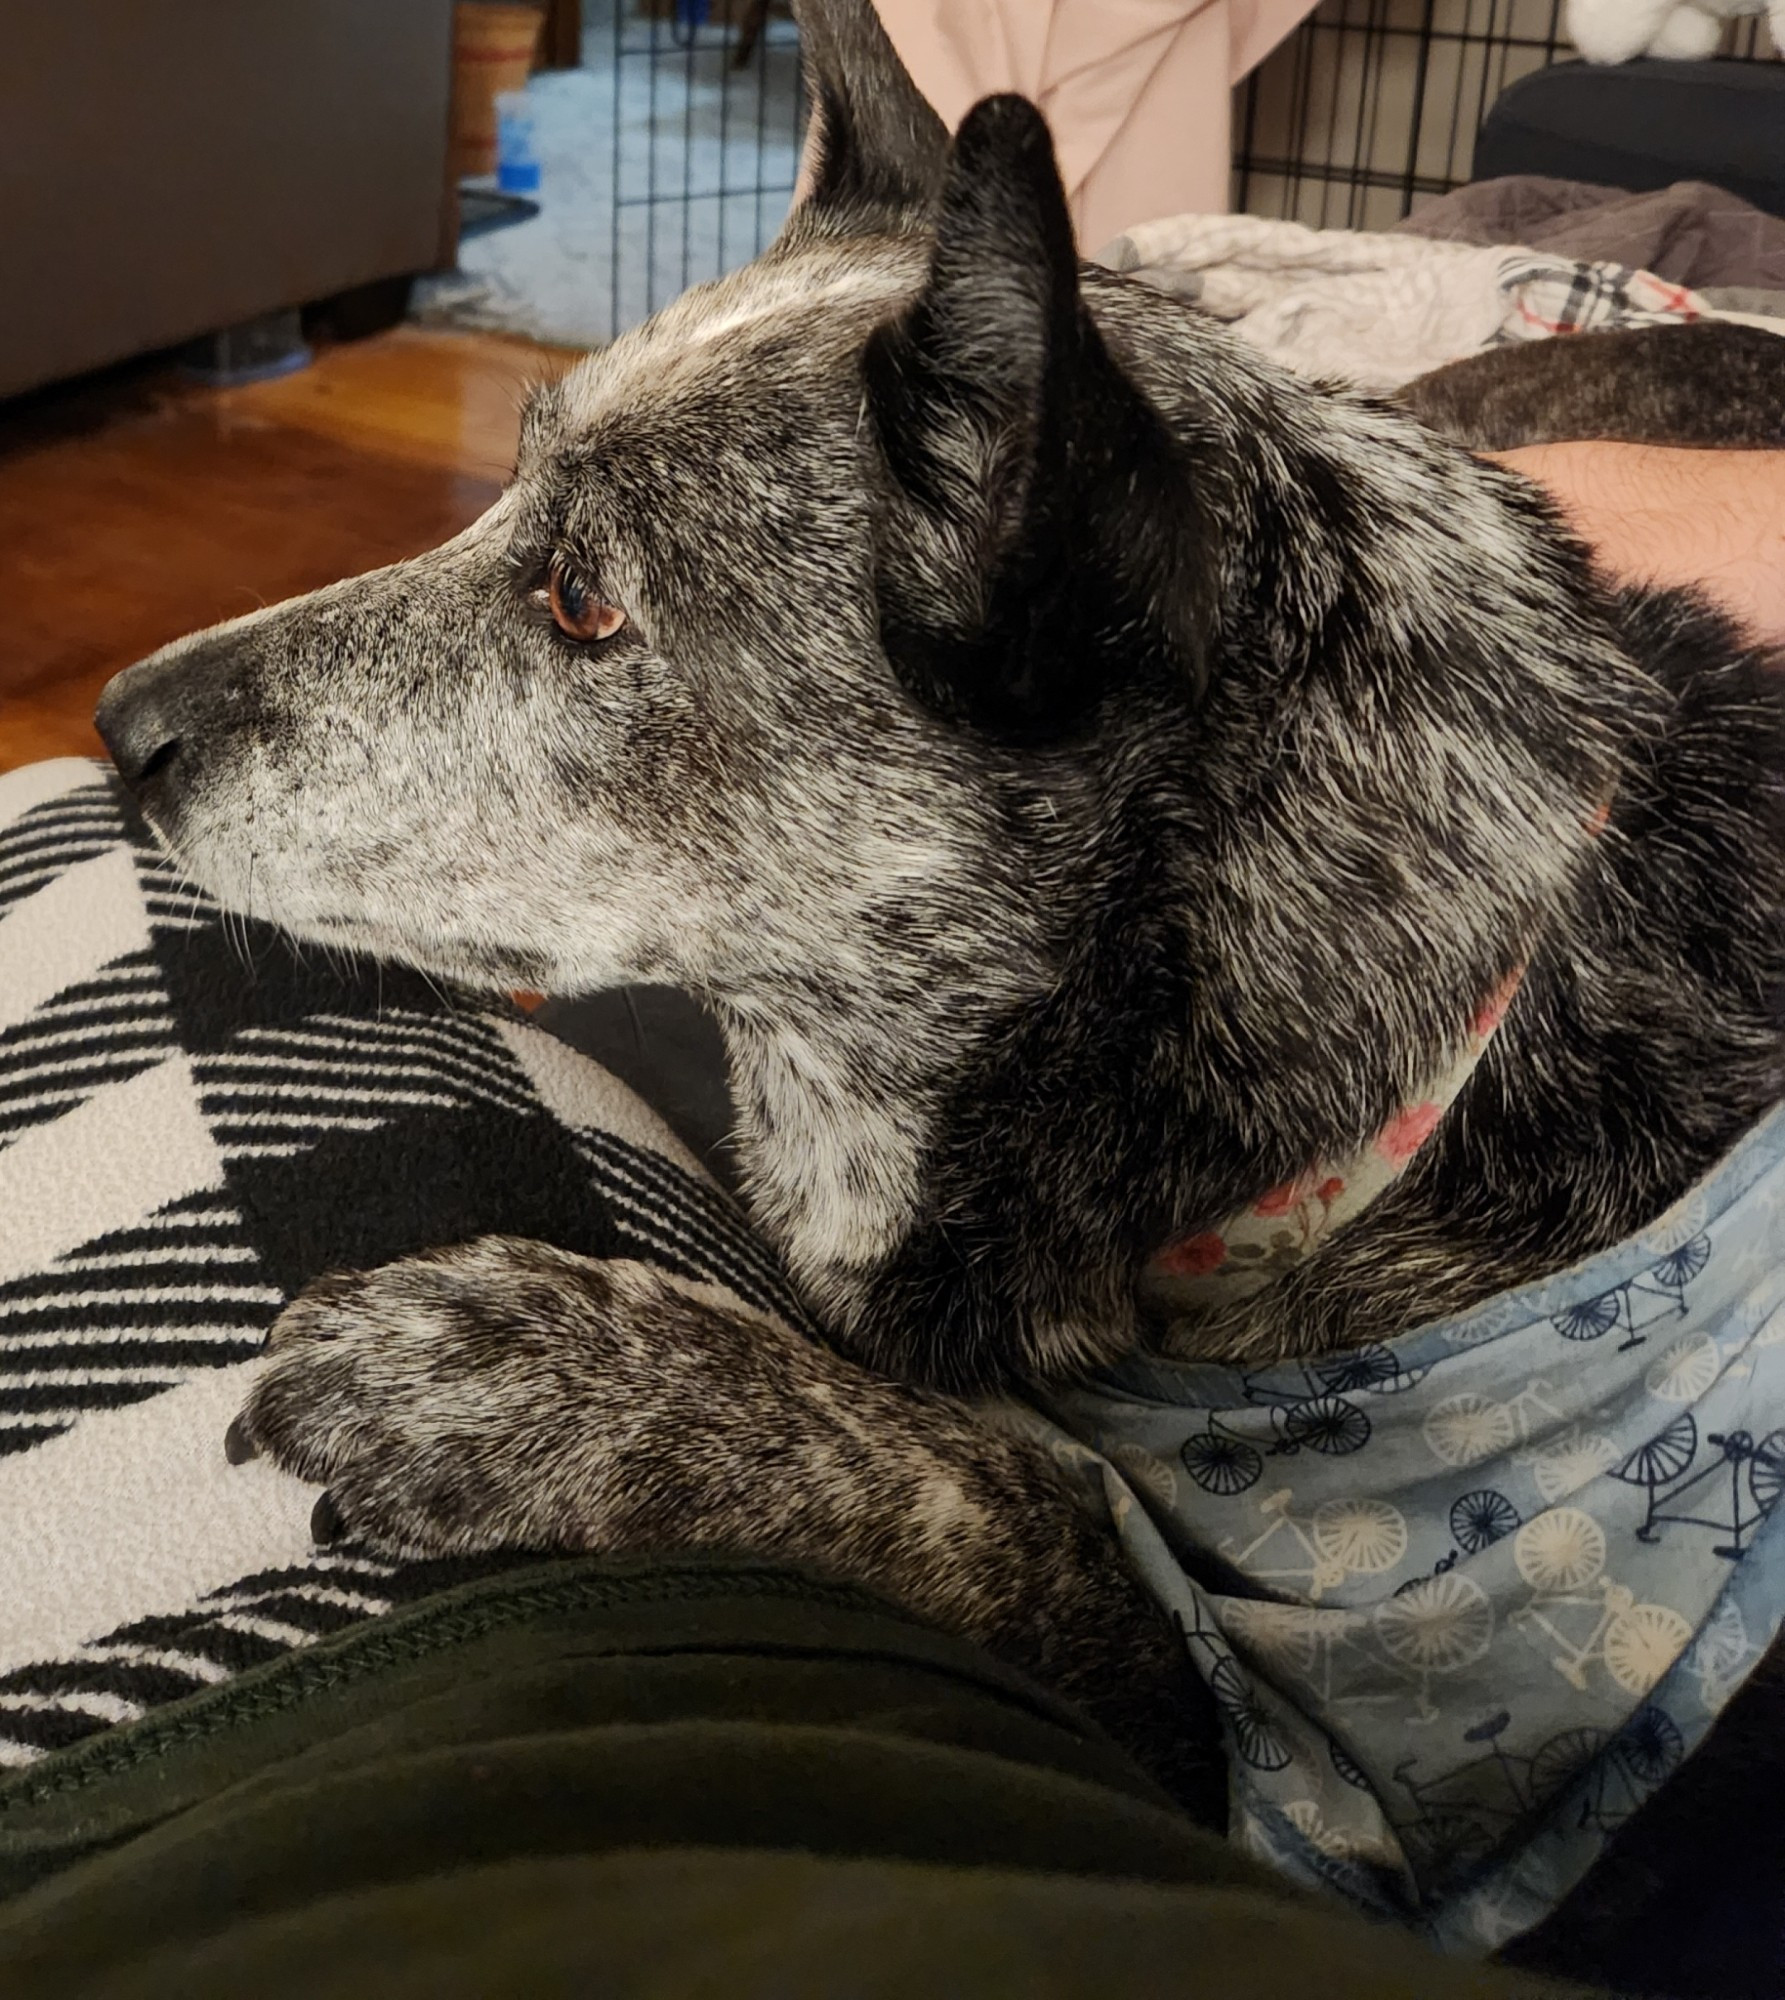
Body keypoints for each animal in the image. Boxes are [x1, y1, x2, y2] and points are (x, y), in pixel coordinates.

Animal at [90, 0, 1776, 1984]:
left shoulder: (1292, 1763)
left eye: (584, 603)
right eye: (502, 495)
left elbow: (998, 1491)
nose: (117, 726)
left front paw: (533, 1378)